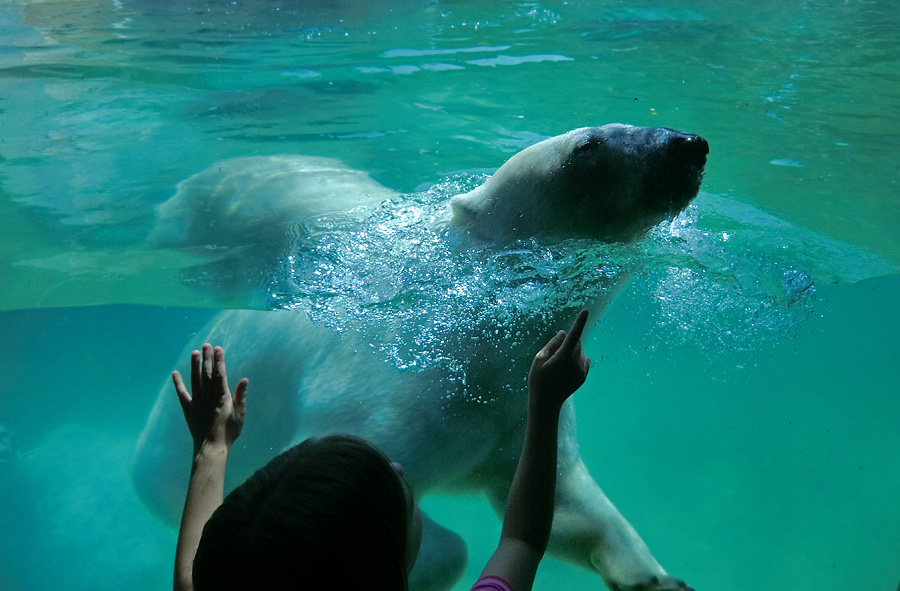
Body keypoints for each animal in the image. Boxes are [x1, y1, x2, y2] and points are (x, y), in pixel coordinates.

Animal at [134, 125, 712, 591]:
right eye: (588, 146)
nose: (689, 144)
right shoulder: (396, 389)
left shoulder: (510, 412)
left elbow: (564, 504)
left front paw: (656, 578)